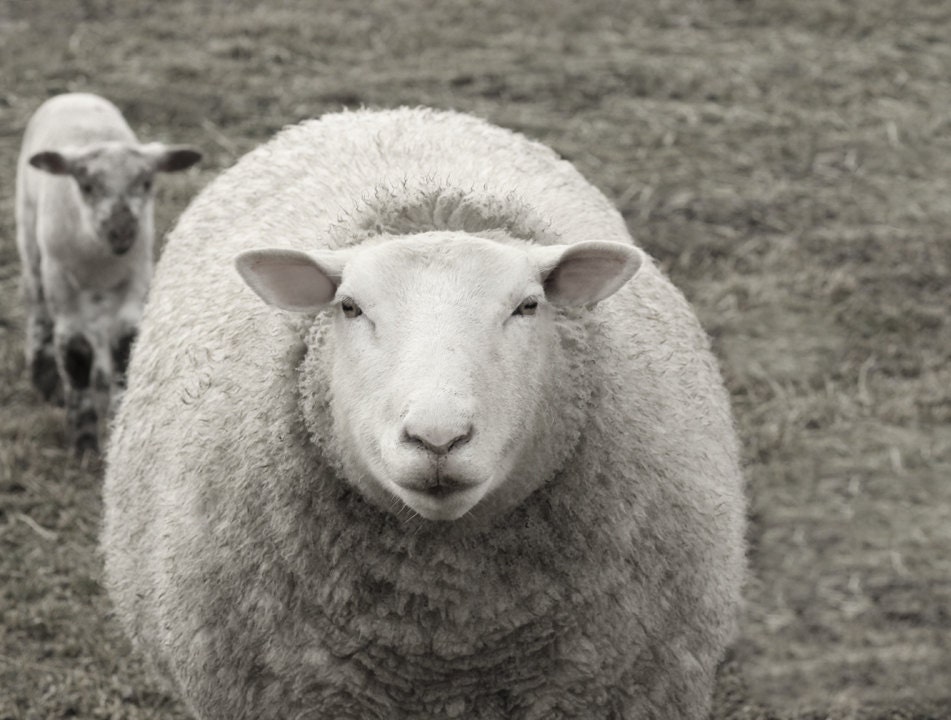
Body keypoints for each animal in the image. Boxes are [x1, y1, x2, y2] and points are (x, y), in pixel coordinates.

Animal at [15, 92, 201, 453]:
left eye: (146, 182)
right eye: (87, 186)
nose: (121, 231)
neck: (99, 260)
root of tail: (75, 95)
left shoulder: (136, 276)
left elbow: (123, 345)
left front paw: (118, 420)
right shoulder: (61, 282)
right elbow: (75, 352)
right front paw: (85, 443)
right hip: (28, 232)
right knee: (38, 304)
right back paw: (44, 376)